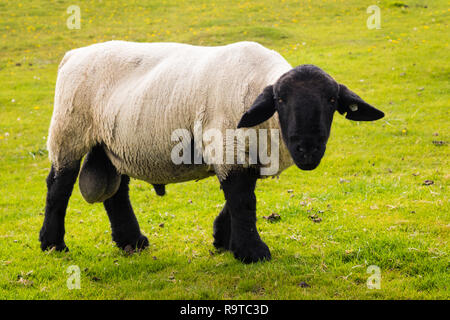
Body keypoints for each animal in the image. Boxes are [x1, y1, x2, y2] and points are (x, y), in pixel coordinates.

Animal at [40, 40, 384, 262]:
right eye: (281, 100)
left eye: (331, 101)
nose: (308, 150)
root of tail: (72, 55)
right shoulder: (226, 145)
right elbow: (243, 199)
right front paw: (252, 252)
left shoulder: (242, 151)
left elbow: (239, 195)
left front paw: (223, 240)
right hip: (69, 131)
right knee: (58, 186)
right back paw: (53, 245)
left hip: (114, 143)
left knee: (117, 194)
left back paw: (132, 242)